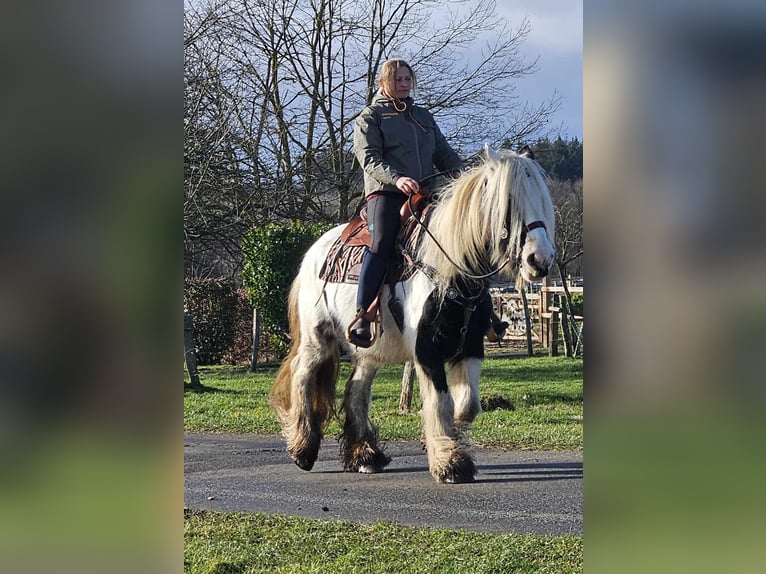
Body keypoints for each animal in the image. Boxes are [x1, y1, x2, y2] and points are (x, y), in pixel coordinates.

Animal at [272, 147, 560, 486]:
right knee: (303, 377)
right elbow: (441, 401)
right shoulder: (426, 350)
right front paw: (450, 462)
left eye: (542, 198)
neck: (451, 270)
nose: (540, 260)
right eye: (509, 202)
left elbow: (467, 404)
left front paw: (441, 442)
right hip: (317, 339)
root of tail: (315, 251)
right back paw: (302, 449)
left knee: (356, 389)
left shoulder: (470, 347)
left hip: (369, 349)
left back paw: (365, 455)